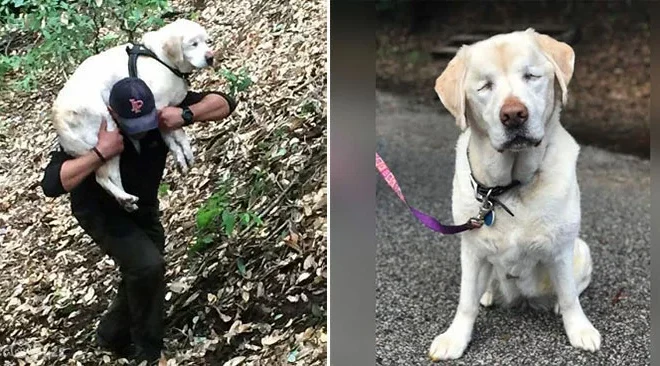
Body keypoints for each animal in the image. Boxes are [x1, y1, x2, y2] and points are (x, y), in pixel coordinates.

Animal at [51, 19, 213, 212]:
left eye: (207, 41)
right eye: (193, 44)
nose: (210, 57)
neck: (161, 59)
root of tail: (58, 118)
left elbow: (174, 138)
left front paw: (182, 157)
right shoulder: (159, 108)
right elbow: (175, 134)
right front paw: (183, 153)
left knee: (112, 176)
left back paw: (127, 201)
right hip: (108, 130)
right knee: (101, 178)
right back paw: (124, 197)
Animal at [428, 28, 604, 360]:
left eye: (531, 76)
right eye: (485, 85)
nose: (513, 115)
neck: (509, 187)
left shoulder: (561, 248)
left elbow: (570, 295)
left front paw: (580, 330)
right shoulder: (471, 249)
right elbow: (466, 301)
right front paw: (455, 338)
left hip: (582, 249)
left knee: (575, 287)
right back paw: (487, 294)